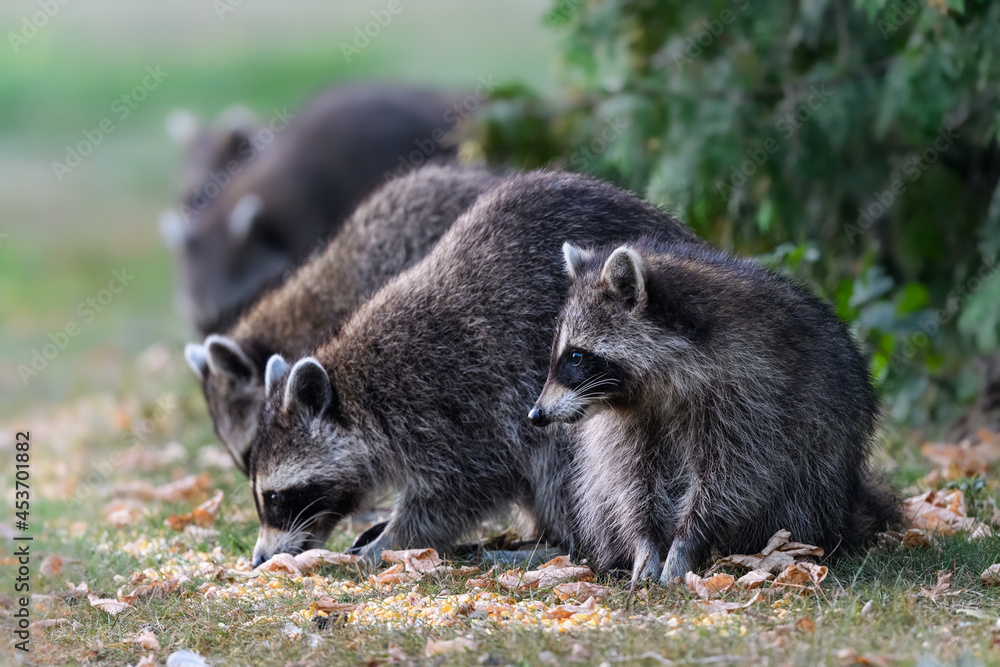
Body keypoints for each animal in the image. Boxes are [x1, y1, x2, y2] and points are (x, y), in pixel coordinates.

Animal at [247, 171, 702, 566]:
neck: (359, 390)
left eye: (275, 498)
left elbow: (460, 490)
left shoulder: (452, 404)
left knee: (561, 459)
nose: (259, 559)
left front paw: (390, 540)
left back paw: (559, 545)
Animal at [529, 239, 901, 583]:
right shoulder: (627, 420)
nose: (536, 415)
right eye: (560, 354)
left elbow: (734, 477)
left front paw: (686, 540)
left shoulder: (752, 396)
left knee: (802, 491)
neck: (655, 388)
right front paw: (644, 542)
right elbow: (630, 479)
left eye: (576, 357)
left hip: (823, 462)